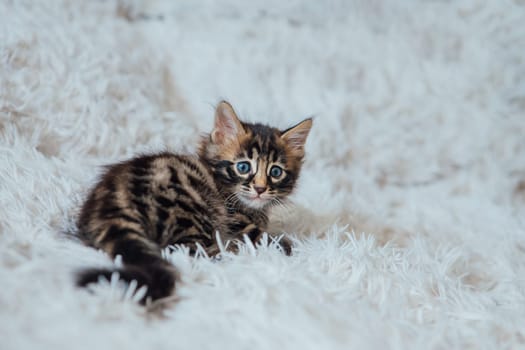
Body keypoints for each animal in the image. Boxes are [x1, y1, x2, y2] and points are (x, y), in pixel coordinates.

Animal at [74, 100, 312, 302]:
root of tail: (113, 205)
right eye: (243, 167)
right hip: (189, 209)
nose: (260, 189)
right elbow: (269, 239)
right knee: (190, 251)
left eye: (275, 172)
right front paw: (287, 244)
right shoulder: (236, 220)